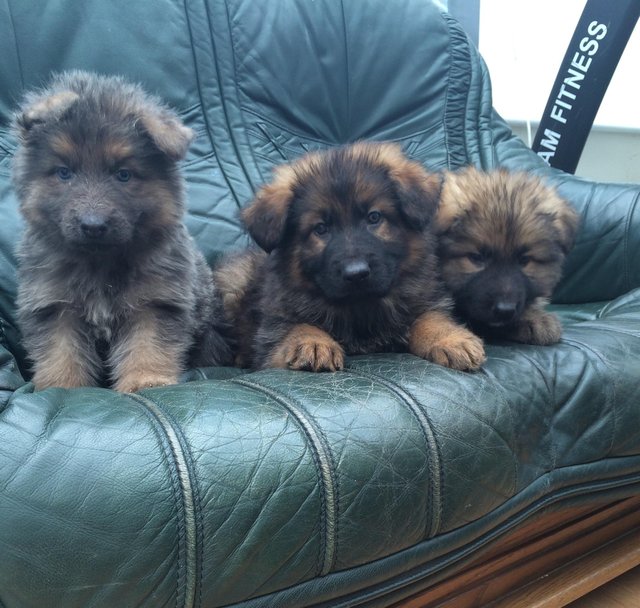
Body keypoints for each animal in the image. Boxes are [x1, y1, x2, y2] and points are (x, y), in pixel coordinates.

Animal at [12, 70, 231, 394]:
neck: (99, 264)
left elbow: (147, 344)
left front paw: (146, 379)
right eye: (64, 173)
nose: (93, 225)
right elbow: (61, 350)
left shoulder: (154, 302)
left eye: (123, 175)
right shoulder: (54, 305)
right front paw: (63, 385)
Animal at [215, 142, 484, 370]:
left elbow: (429, 317)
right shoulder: (273, 330)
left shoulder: (423, 298)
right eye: (320, 228)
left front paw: (449, 339)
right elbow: (296, 326)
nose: (356, 274)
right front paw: (311, 343)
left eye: (374, 217)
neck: (359, 307)